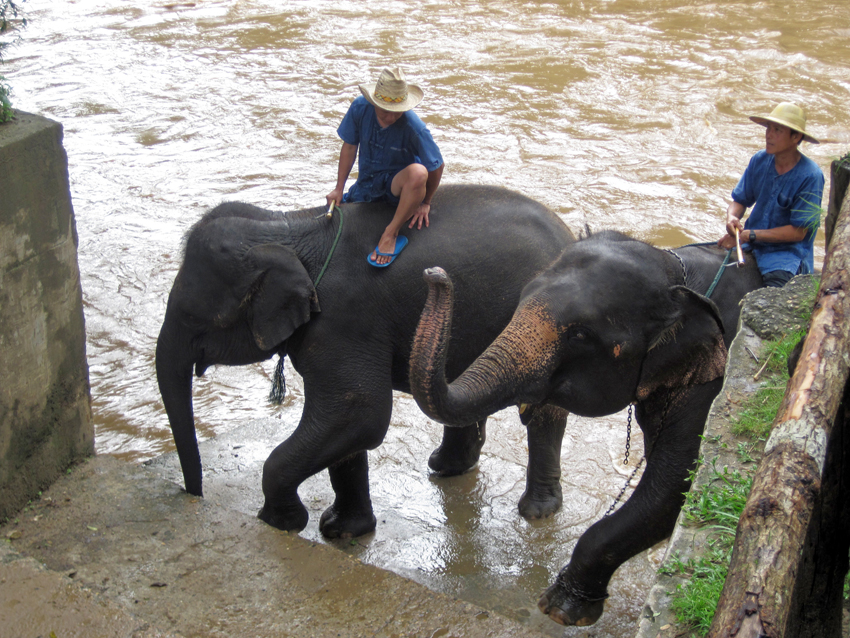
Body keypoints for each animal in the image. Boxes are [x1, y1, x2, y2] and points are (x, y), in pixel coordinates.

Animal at [155, 184, 572, 540]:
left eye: (191, 317)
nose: (194, 496)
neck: (289, 227)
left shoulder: (344, 321)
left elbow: (358, 412)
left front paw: (282, 522)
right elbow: (349, 427)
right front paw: (343, 530)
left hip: (546, 330)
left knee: (543, 413)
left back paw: (537, 511)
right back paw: (447, 468)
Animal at [410, 230, 760, 624]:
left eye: (579, 334)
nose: (434, 273)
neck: (677, 273)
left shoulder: (711, 382)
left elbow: (676, 481)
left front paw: (561, 608)